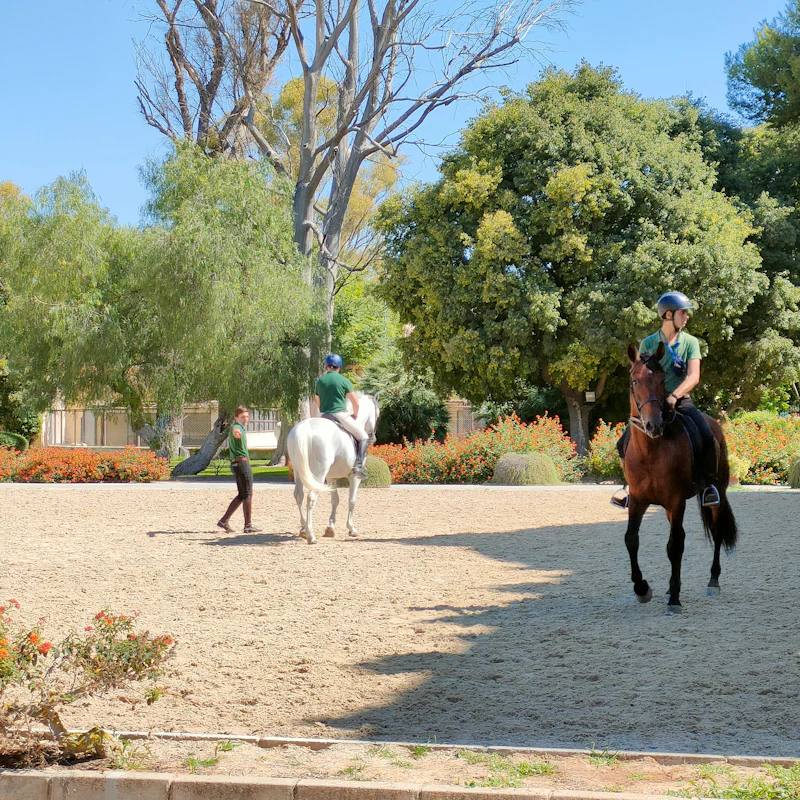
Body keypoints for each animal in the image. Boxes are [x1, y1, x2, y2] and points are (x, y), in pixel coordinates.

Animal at [287, 393, 379, 545]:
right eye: (377, 414)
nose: (373, 437)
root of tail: (304, 428)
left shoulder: (331, 477)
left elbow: (335, 500)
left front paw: (330, 528)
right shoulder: (355, 477)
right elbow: (352, 501)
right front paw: (351, 528)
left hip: (298, 471)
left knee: (299, 495)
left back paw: (303, 529)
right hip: (319, 473)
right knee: (311, 497)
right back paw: (311, 535)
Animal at [623, 342, 738, 614]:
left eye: (661, 379)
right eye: (635, 381)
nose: (653, 425)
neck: (650, 451)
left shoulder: (676, 501)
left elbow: (674, 546)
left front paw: (674, 599)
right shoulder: (638, 500)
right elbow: (632, 540)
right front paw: (642, 589)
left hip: (716, 493)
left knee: (716, 531)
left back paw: (713, 581)